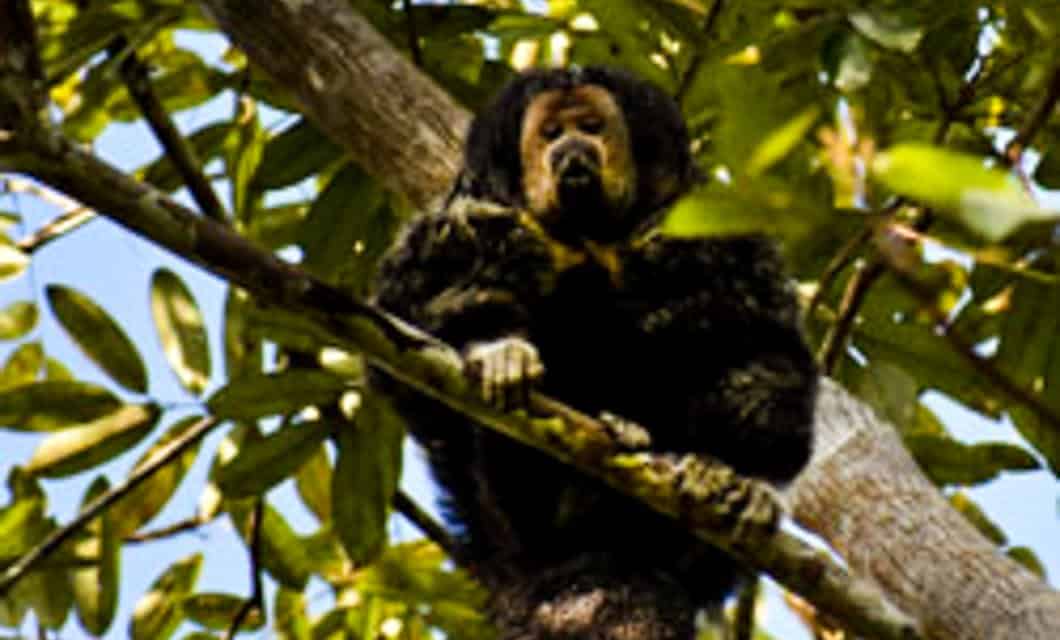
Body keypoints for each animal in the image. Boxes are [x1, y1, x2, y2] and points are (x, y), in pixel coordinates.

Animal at [372, 66, 817, 639]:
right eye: (550, 134)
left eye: (590, 125)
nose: (572, 150)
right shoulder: (460, 218)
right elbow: (405, 315)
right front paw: (499, 351)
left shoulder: (717, 228)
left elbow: (768, 341)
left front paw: (747, 478)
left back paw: (706, 477)